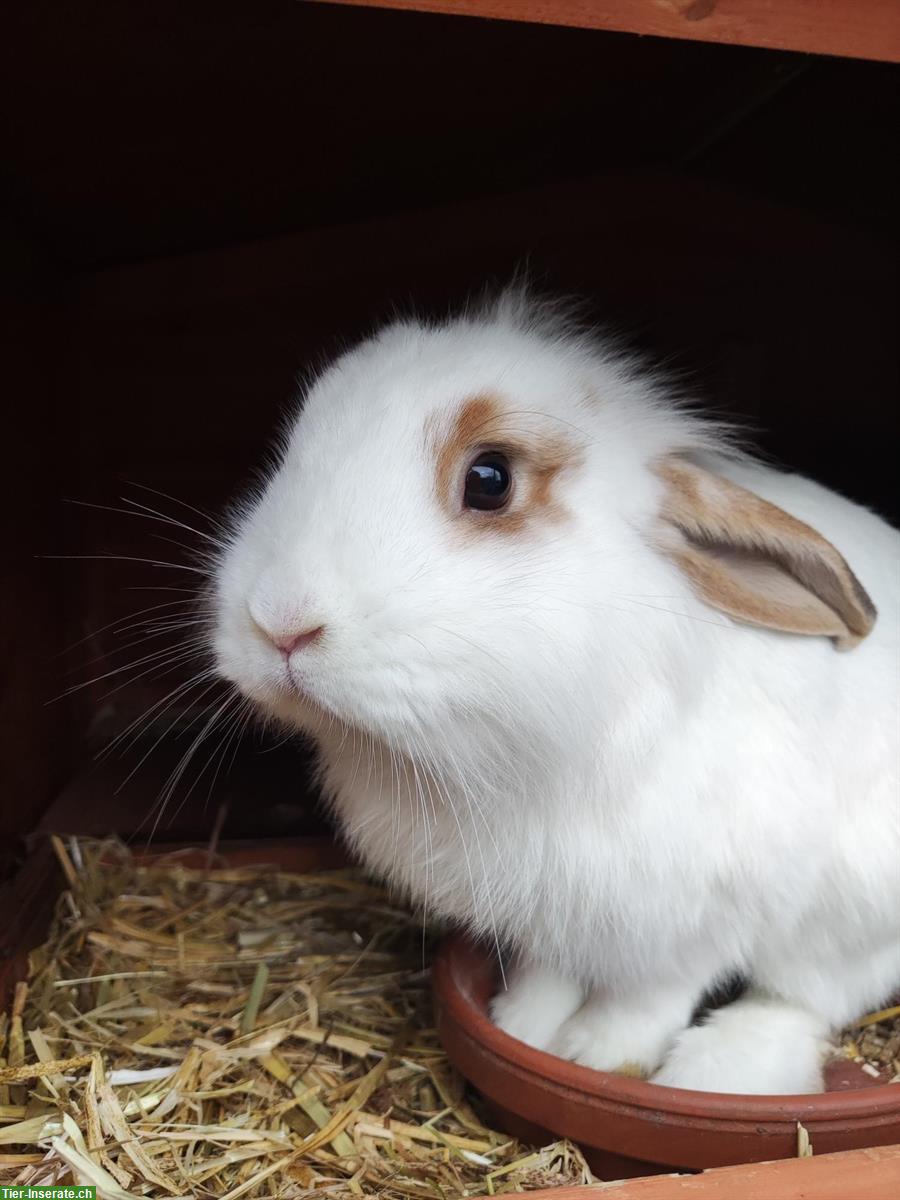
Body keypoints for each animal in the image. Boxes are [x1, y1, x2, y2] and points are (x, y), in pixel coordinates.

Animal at [213, 285, 900, 1094]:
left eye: (489, 479)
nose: (279, 622)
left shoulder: (692, 913)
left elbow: (651, 996)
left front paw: (592, 1054)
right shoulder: (552, 914)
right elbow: (550, 971)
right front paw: (521, 1025)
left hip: (851, 918)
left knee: (800, 1000)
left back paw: (716, 1069)